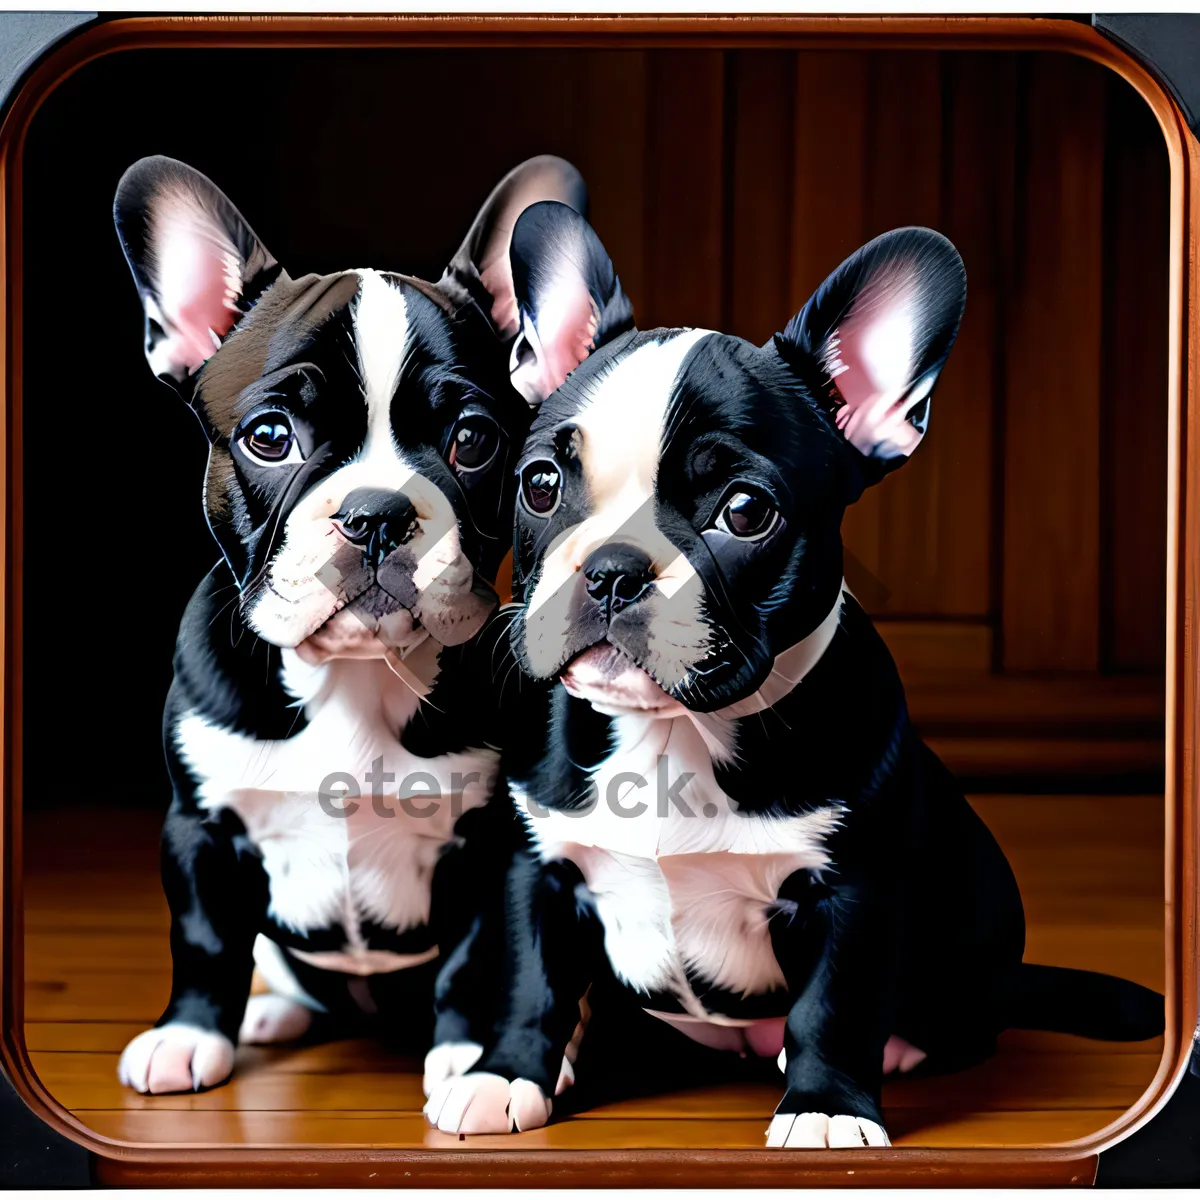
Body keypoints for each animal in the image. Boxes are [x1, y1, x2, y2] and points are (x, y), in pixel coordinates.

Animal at [111, 154, 609, 1094]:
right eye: (270, 436)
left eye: (473, 440)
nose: (376, 513)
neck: (353, 673)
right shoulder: (198, 828)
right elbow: (204, 940)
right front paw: (190, 1034)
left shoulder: (488, 847)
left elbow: (475, 959)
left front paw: (468, 1058)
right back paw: (268, 1010)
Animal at [424, 204, 1161, 1142]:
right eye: (542, 483)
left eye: (746, 511)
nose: (614, 569)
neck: (672, 734)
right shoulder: (538, 869)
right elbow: (532, 978)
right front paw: (508, 1071)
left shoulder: (852, 894)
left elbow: (832, 1006)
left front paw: (827, 1108)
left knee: (966, 1018)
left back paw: (897, 1049)